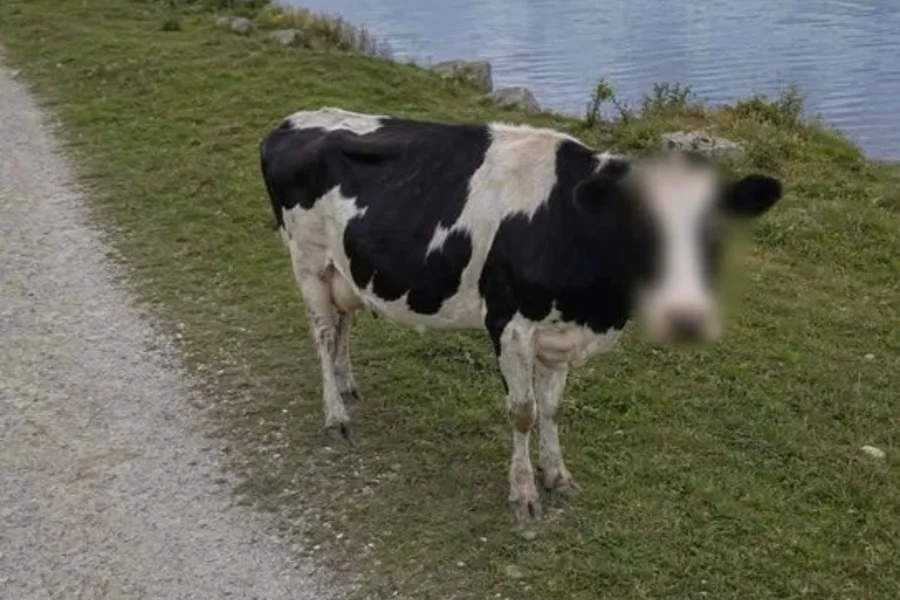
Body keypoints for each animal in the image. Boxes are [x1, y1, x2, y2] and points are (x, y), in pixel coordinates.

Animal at [259, 107, 783, 519]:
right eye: (640, 226)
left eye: (715, 232)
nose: (686, 319)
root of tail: (293, 121)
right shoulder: (510, 326)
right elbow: (524, 412)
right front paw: (525, 492)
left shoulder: (560, 335)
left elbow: (551, 408)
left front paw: (558, 475)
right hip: (308, 262)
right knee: (324, 335)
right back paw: (335, 415)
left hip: (345, 271)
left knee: (344, 323)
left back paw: (348, 385)